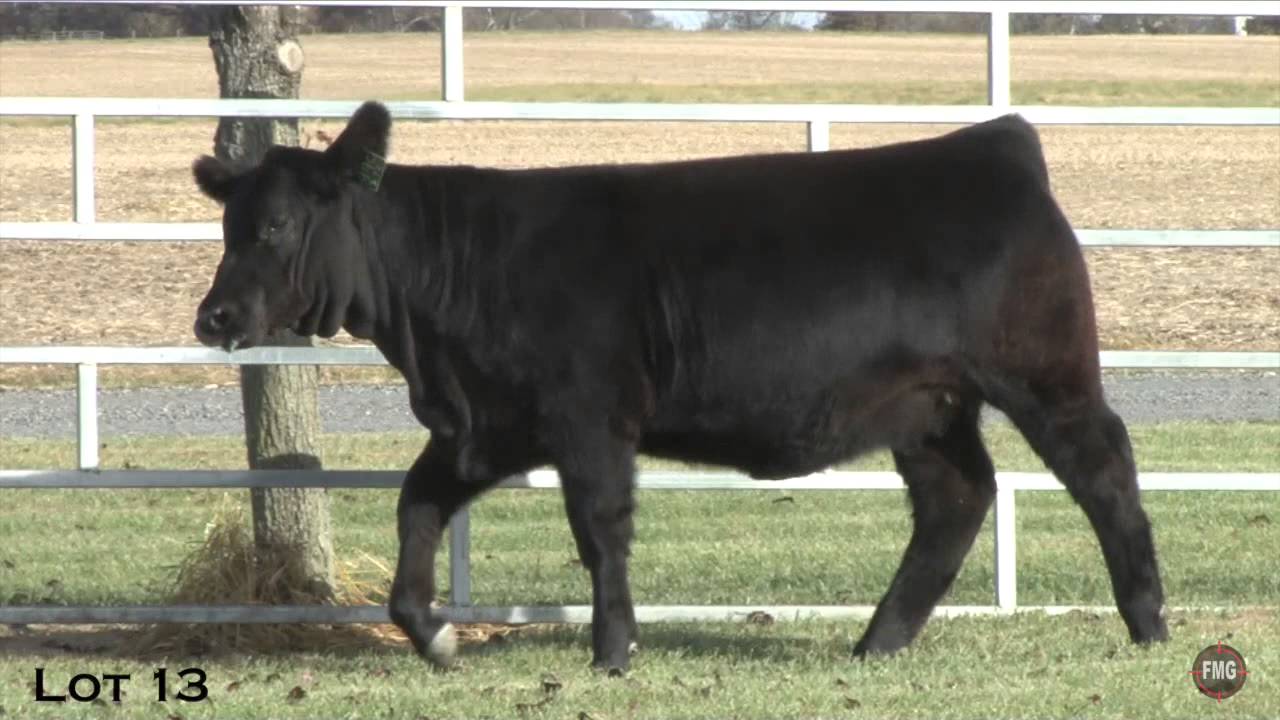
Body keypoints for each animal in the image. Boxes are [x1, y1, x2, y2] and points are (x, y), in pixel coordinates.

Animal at [192, 101, 1168, 674]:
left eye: (276, 226)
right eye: (229, 224)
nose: (214, 316)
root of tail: (994, 144)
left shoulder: (590, 418)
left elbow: (599, 532)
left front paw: (612, 652)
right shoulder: (483, 425)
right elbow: (417, 508)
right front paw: (433, 636)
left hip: (1046, 375)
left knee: (1103, 470)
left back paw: (1149, 622)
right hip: (927, 408)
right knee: (957, 496)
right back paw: (877, 643)